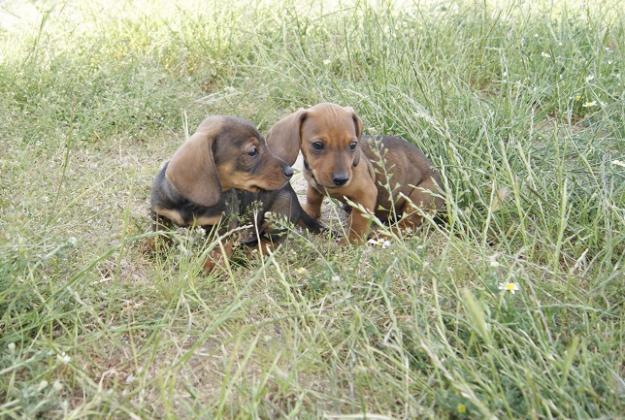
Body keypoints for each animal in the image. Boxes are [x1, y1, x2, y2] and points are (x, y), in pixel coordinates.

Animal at [149, 115, 320, 272]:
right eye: (253, 151)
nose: (290, 171)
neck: (191, 204)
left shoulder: (223, 226)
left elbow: (218, 250)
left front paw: (211, 266)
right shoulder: (159, 213)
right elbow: (158, 234)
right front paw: (152, 249)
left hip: (279, 212)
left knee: (269, 243)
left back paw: (245, 253)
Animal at [266, 102, 442, 244]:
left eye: (352, 145)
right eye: (317, 145)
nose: (341, 179)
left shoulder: (366, 194)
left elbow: (358, 223)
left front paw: (351, 243)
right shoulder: (314, 185)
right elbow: (313, 199)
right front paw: (309, 213)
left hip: (420, 196)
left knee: (407, 225)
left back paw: (383, 234)